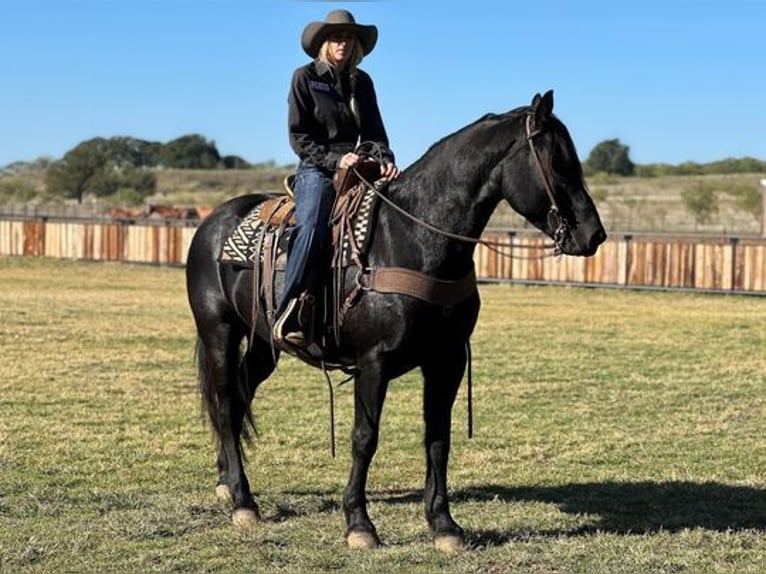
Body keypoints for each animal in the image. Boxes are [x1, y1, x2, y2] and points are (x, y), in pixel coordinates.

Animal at [184, 91, 608, 552]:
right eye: (557, 161)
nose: (594, 235)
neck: (415, 238)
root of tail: (211, 223)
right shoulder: (374, 362)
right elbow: (364, 438)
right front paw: (359, 524)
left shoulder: (447, 361)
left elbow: (438, 438)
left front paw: (444, 525)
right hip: (219, 332)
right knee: (226, 402)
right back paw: (244, 502)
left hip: (264, 342)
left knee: (240, 395)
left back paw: (227, 481)